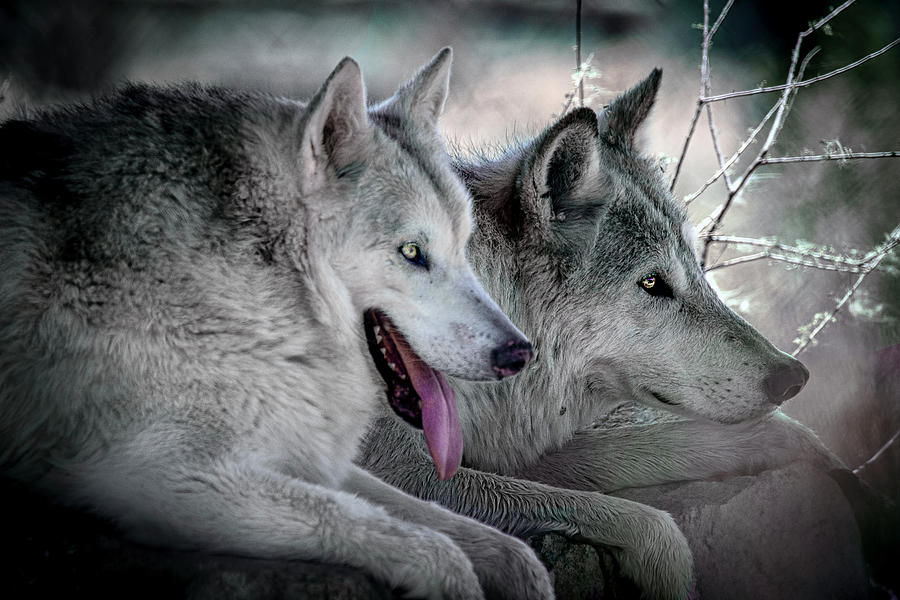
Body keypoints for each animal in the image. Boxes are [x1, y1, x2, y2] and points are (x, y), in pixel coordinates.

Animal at [0, 49, 556, 596]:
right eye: (412, 252)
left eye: (463, 244)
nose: (520, 353)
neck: (260, 292)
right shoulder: (161, 474)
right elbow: (411, 538)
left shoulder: (305, 453)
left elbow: (471, 531)